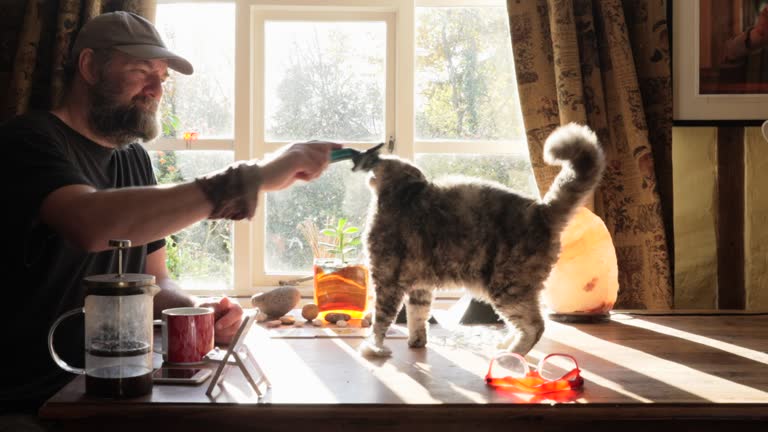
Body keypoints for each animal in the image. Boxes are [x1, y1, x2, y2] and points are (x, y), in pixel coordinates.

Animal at [358, 123, 608, 356]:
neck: (402, 194)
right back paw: (505, 345)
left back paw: (511, 354)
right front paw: (416, 342)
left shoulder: (387, 281)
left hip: (507, 289)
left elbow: (381, 321)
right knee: (524, 324)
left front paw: (373, 348)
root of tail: (541, 210)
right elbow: (418, 317)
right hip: (515, 291)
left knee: (535, 326)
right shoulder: (421, 287)